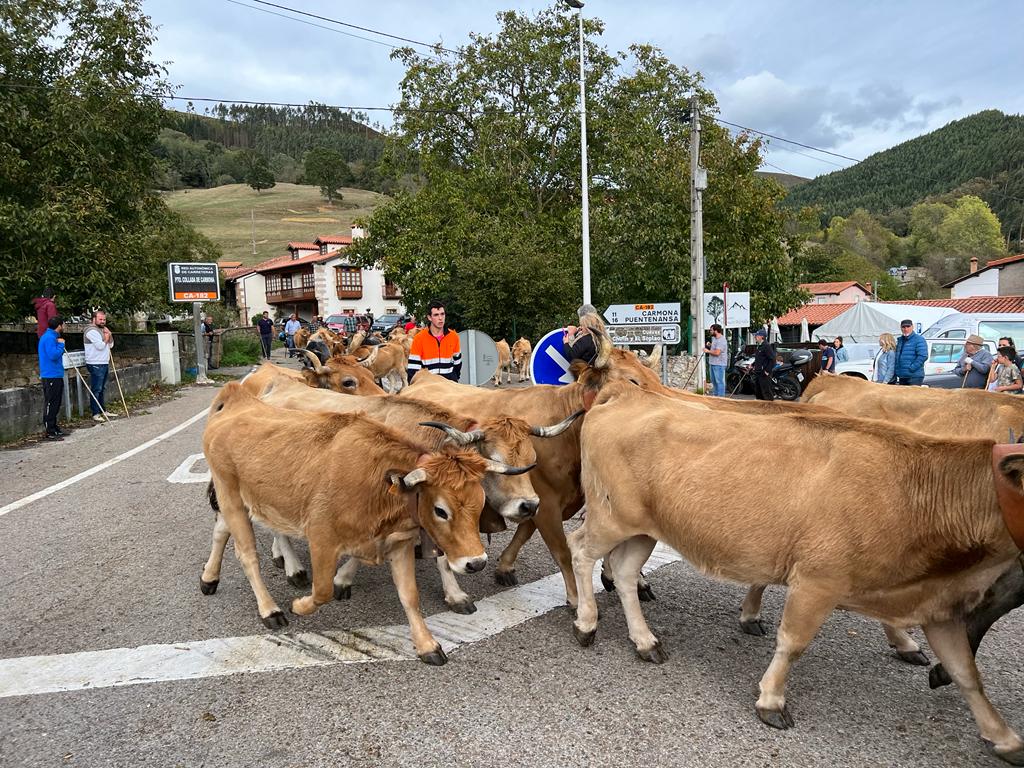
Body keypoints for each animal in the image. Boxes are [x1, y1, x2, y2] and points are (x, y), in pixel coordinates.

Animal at [203, 382, 532, 663]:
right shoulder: (323, 538)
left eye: (478, 503)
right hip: (233, 497)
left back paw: (211, 577)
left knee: (224, 528)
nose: (530, 505)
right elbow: (323, 589)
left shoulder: (399, 539)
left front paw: (428, 641)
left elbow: (409, 595)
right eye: (441, 510)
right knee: (248, 554)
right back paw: (274, 601)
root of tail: (237, 398)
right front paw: (311, 598)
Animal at [577, 385, 1024, 765]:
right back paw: (586, 622)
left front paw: (1004, 737)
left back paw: (645, 641)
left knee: (625, 573)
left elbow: (968, 673)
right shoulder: (817, 580)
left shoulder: (938, 605)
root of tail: (624, 394)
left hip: (644, 529)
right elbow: (793, 643)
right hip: (610, 517)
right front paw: (771, 701)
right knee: (581, 551)